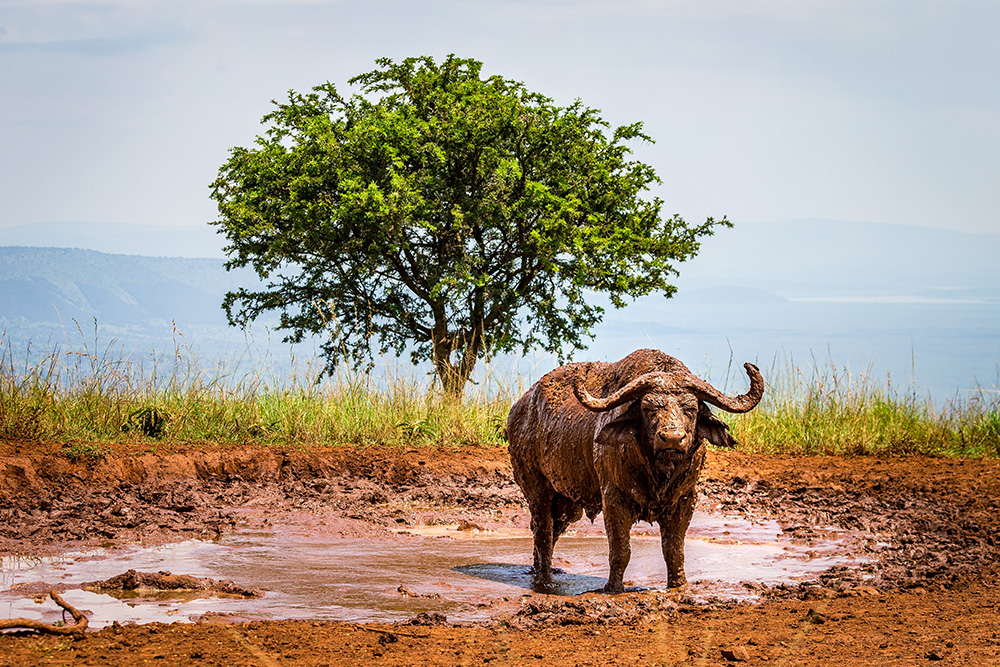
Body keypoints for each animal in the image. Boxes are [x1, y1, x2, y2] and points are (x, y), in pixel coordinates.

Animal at [507, 349, 764, 593]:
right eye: (648, 408)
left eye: (690, 408)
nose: (672, 438)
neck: (657, 472)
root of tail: (519, 408)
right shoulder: (613, 499)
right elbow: (621, 550)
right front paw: (613, 587)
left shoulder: (685, 500)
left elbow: (674, 549)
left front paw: (679, 584)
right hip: (537, 489)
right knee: (542, 531)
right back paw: (544, 575)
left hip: (567, 503)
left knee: (551, 531)